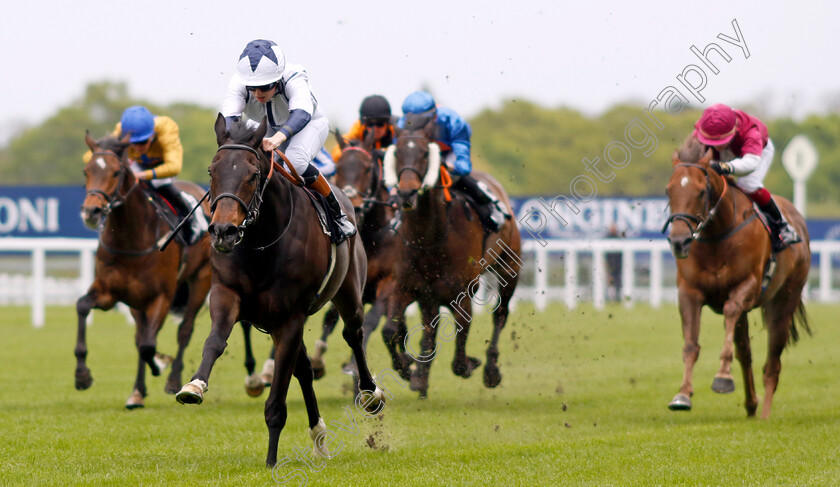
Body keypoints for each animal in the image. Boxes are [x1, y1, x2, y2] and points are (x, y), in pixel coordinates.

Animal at [77, 132, 212, 408]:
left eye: (116, 172)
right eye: (87, 170)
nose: (91, 211)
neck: (131, 239)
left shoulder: (162, 296)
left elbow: (149, 345)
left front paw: (160, 365)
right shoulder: (110, 292)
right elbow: (82, 306)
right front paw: (82, 374)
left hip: (201, 279)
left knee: (184, 330)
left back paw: (173, 379)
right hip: (136, 301)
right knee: (141, 335)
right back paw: (137, 391)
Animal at [179, 116, 386, 468]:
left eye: (252, 175)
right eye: (211, 171)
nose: (223, 231)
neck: (261, 241)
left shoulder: (290, 317)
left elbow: (277, 399)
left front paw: (271, 461)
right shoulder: (226, 294)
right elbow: (215, 341)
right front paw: (194, 386)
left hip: (348, 293)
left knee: (353, 334)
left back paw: (371, 394)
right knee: (303, 368)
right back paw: (318, 436)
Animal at [308, 132, 400, 384]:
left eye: (368, 168)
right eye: (340, 166)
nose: (355, 208)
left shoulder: (389, 282)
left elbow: (371, 320)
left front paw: (352, 367)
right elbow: (330, 319)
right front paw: (318, 361)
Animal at [382, 123, 524, 400]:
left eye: (425, 154)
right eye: (397, 153)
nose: (406, 192)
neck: (430, 237)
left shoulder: (462, 293)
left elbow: (461, 340)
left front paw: (469, 364)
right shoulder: (405, 287)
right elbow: (390, 331)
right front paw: (407, 368)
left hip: (509, 270)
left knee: (499, 315)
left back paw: (491, 370)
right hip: (429, 295)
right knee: (429, 328)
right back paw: (421, 377)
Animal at [668, 137, 812, 420]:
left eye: (701, 192)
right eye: (669, 191)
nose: (679, 241)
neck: (717, 235)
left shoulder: (747, 287)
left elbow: (730, 311)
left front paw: (723, 377)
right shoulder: (689, 292)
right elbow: (691, 345)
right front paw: (682, 394)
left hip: (783, 302)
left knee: (772, 364)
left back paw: (764, 413)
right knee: (745, 351)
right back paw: (751, 403)